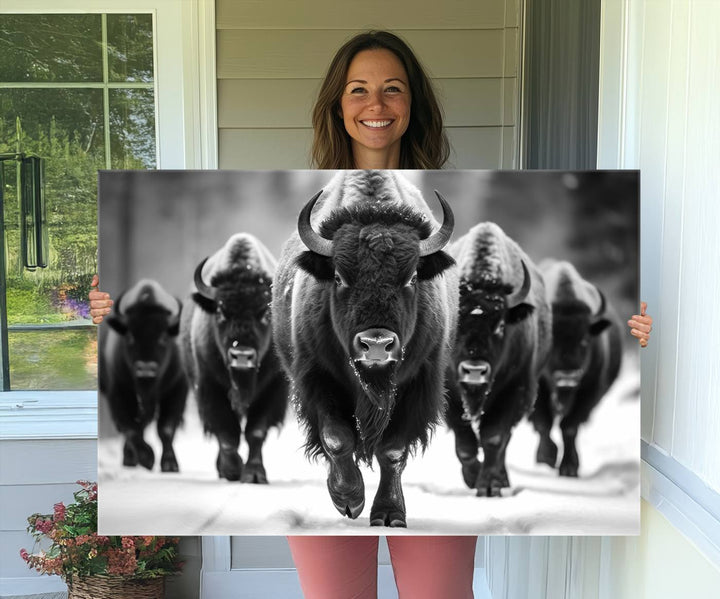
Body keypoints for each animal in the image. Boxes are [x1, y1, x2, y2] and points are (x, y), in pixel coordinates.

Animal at [100, 280, 187, 474]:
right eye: (130, 337)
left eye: (163, 338)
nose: (145, 369)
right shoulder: (119, 393)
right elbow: (131, 428)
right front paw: (147, 458)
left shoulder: (176, 389)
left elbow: (166, 428)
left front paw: (170, 465)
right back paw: (131, 459)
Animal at [181, 233, 288, 482]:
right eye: (221, 311)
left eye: (265, 313)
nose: (241, 355)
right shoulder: (210, 387)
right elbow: (227, 433)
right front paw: (231, 470)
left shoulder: (273, 388)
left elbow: (256, 431)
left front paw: (254, 474)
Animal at [272, 171, 458, 528]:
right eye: (339, 277)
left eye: (412, 277)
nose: (376, 345)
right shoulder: (318, 378)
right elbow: (336, 438)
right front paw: (348, 499)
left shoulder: (418, 384)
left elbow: (392, 451)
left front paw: (389, 514)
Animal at [444, 224, 552, 496]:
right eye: (457, 322)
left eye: (501, 325)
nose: (474, 370)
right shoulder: (451, 396)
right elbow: (465, 445)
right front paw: (473, 478)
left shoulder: (514, 390)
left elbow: (493, 438)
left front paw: (489, 486)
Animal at [528, 260, 624, 476]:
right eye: (552, 342)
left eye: (584, 341)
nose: (567, 377)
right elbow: (544, 423)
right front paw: (546, 457)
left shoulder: (589, 392)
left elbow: (569, 427)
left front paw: (569, 467)